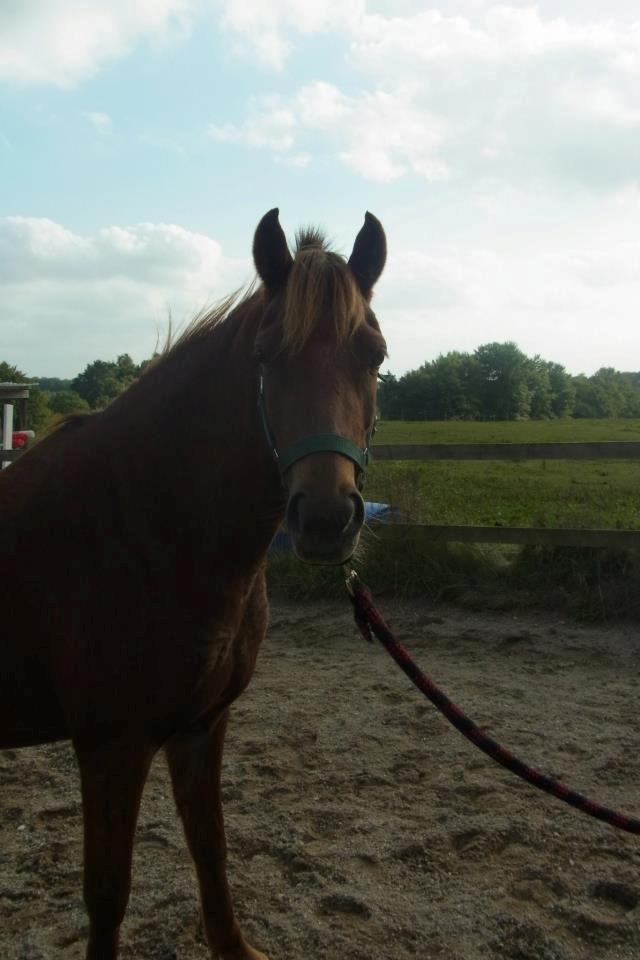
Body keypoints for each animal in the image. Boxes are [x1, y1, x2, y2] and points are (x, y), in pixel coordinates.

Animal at [0, 208, 387, 960]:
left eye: (375, 355)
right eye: (267, 355)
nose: (327, 517)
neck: (145, 521)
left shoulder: (202, 726)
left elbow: (211, 848)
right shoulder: (111, 746)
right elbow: (107, 895)